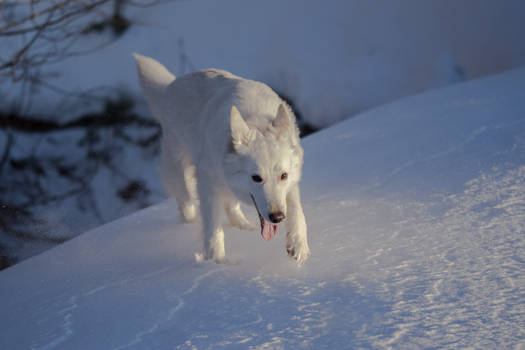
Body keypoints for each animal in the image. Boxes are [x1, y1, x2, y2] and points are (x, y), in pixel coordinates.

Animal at [133, 53, 310, 262]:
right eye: (256, 178)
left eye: (283, 176)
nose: (277, 217)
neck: (255, 119)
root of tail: (171, 85)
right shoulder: (207, 183)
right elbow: (213, 227)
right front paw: (216, 261)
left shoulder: (291, 184)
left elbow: (296, 210)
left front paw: (298, 244)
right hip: (180, 169)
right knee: (186, 202)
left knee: (230, 204)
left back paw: (244, 226)